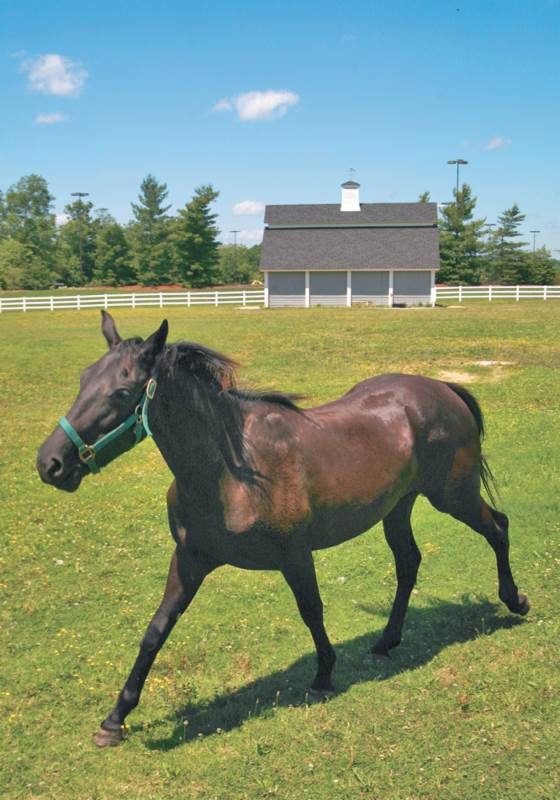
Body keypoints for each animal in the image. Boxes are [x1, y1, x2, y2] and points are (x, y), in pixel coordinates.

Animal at [37, 311, 529, 747]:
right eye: (83, 379)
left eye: (121, 392)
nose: (50, 463)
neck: (231, 472)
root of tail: (442, 388)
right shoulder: (190, 561)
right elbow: (156, 630)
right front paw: (114, 719)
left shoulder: (295, 555)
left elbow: (311, 611)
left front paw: (324, 675)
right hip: (398, 508)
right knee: (409, 563)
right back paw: (386, 642)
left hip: (453, 496)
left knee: (498, 528)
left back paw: (514, 600)